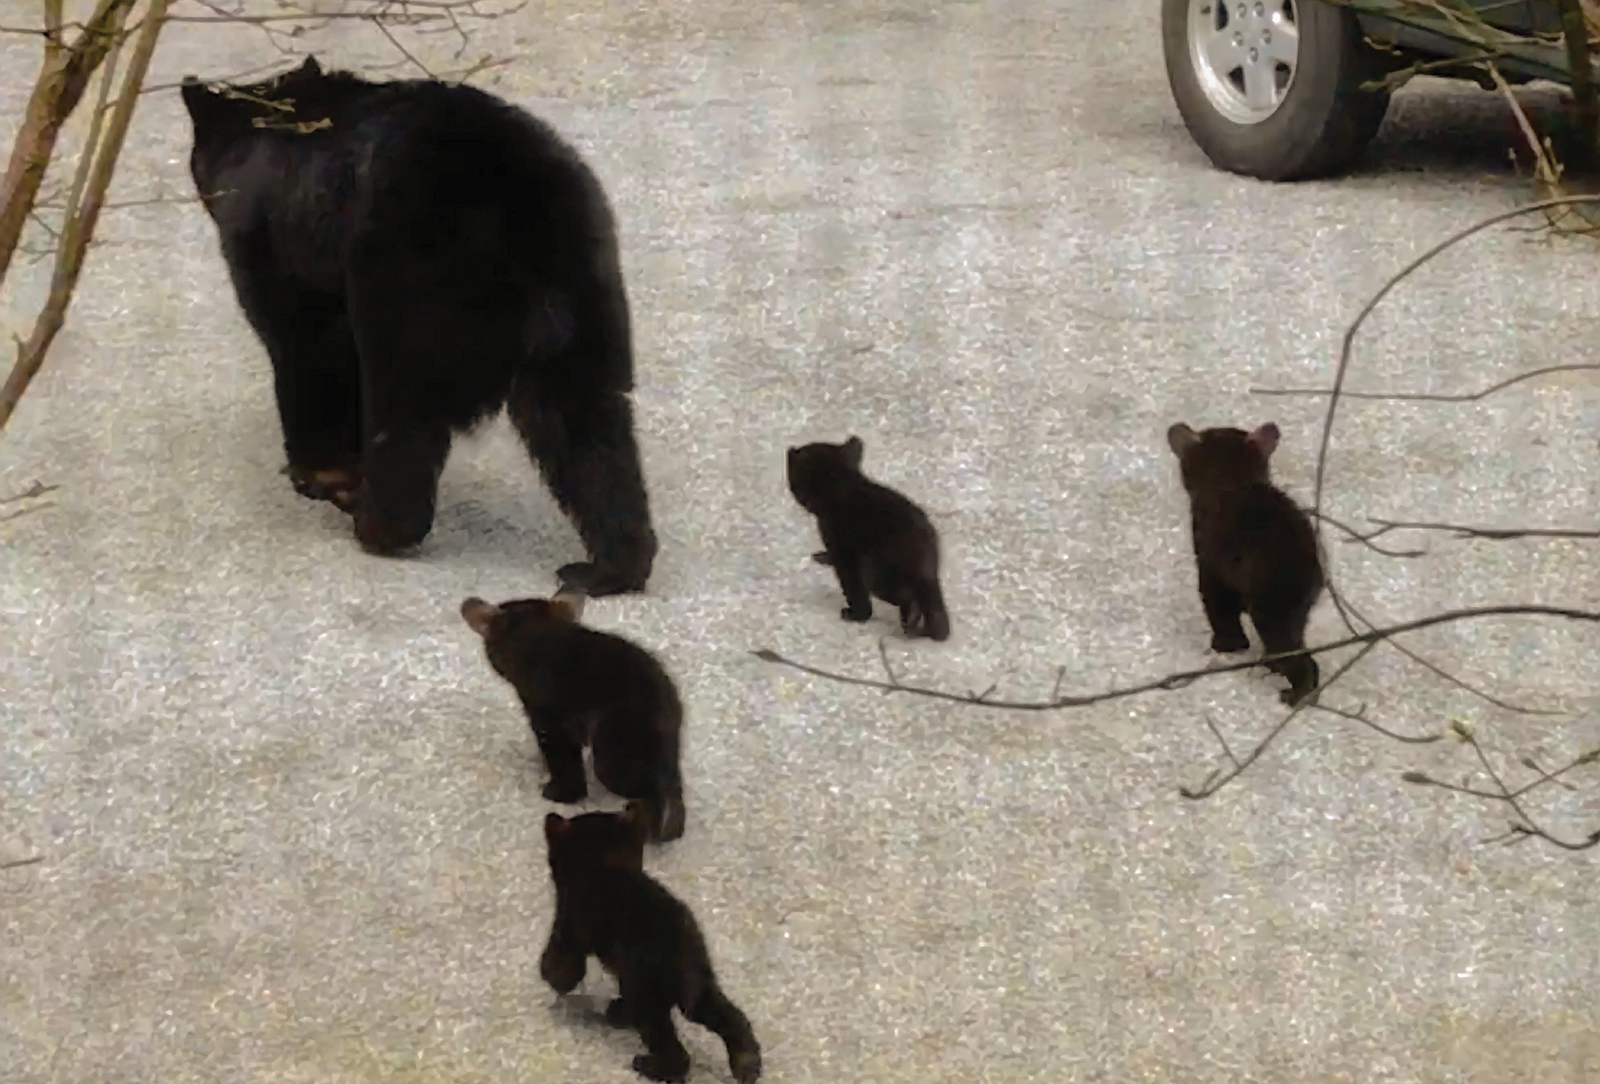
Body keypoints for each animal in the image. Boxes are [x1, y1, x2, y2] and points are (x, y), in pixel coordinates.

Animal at [183, 56, 662, 597]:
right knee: (589, 421)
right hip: (585, 284)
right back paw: (608, 567)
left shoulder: (278, 245)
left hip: (411, 281)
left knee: (404, 411)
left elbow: (304, 348)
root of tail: (519, 208)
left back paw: (378, 525)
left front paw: (317, 473)